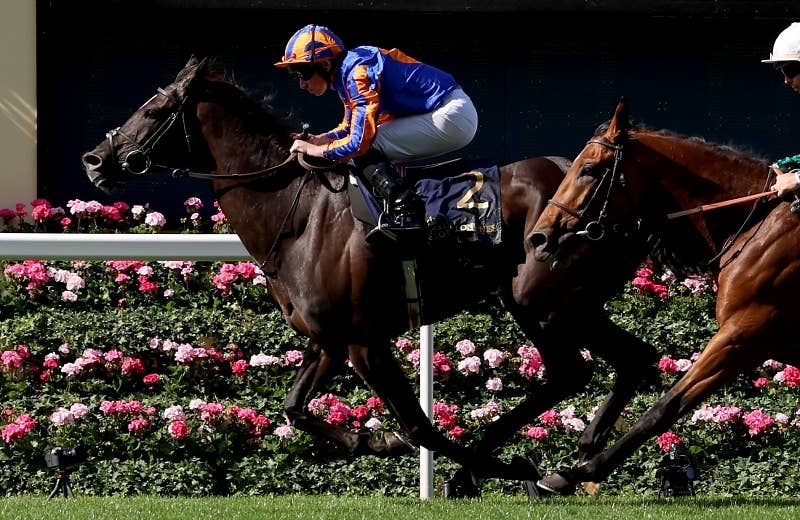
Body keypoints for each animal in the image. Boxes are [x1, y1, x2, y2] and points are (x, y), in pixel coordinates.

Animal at [81, 57, 661, 494]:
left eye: (154, 110)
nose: (94, 159)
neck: (299, 213)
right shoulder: (328, 339)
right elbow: (296, 408)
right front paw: (373, 442)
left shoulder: (364, 340)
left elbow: (418, 425)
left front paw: (492, 464)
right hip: (559, 302)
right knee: (611, 363)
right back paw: (585, 450)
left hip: (545, 300)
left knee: (588, 367)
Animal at [528, 98, 800, 495]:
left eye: (589, 169)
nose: (540, 236)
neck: (757, 225)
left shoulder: (742, 335)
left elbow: (662, 410)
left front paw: (573, 472)